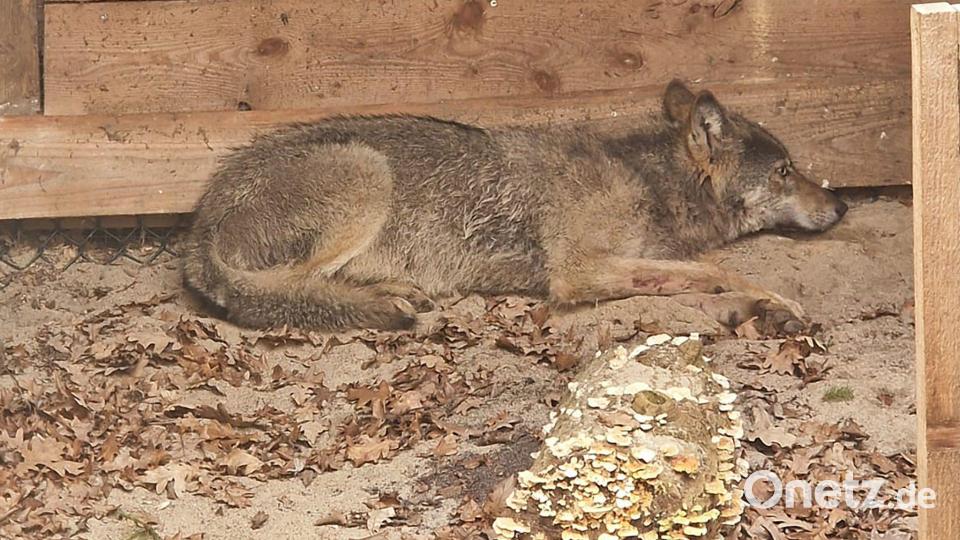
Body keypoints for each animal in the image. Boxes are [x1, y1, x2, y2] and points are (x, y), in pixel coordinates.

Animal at [181, 80, 847, 331]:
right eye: (786, 171)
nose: (842, 205)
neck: (645, 179)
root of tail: (199, 224)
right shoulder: (578, 273)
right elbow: (717, 270)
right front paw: (774, 302)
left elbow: (694, 275)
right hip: (367, 173)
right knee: (285, 291)